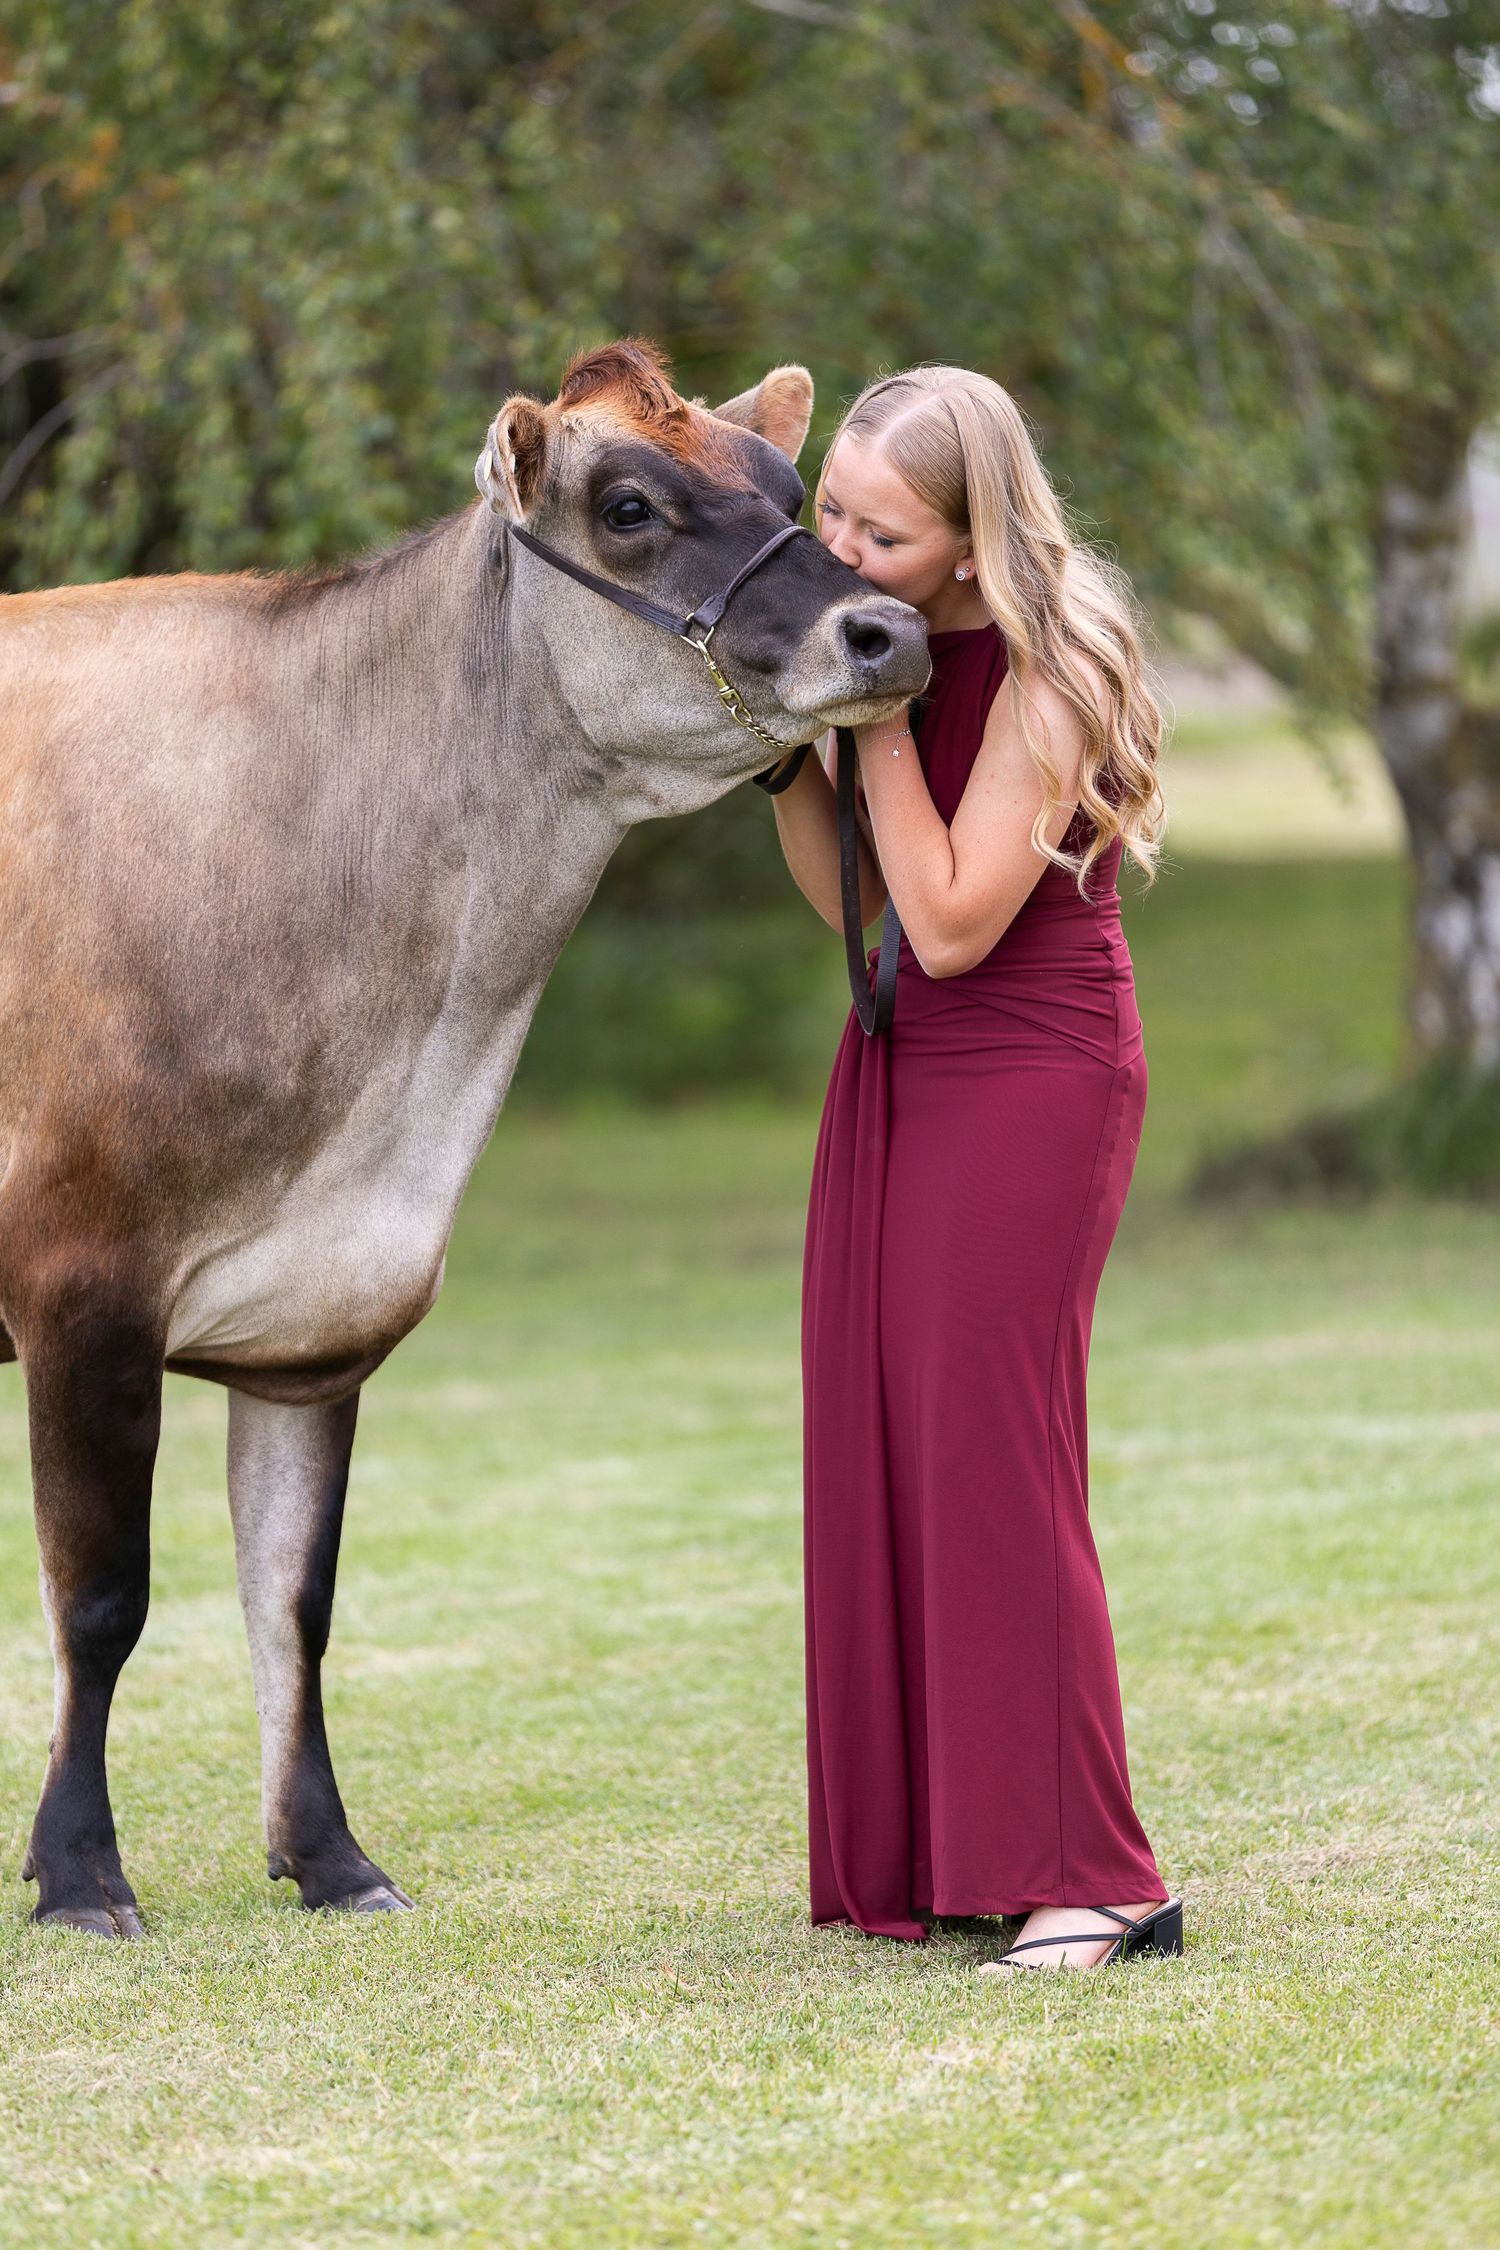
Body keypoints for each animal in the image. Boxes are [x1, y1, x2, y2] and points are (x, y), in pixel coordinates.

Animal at [0, 337, 928, 1935]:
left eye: (787, 487)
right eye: (628, 506)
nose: (891, 631)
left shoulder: (317, 1321)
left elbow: (293, 1598)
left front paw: (328, 1857)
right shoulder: (80, 1284)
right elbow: (103, 1600)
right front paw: (76, 1875)